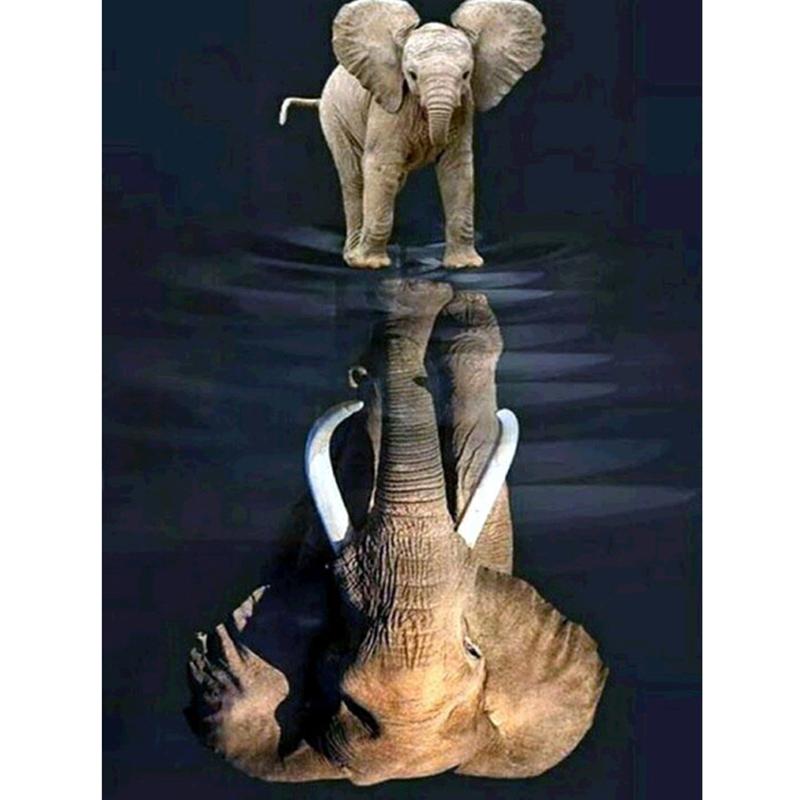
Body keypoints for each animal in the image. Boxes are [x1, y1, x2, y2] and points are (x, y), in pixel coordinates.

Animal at [279, 0, 546, 270]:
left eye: (466, 75)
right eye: (412, 75)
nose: (433, 140)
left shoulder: (464, 107)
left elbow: (457, 169)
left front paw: (465, 266)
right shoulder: (389, 105)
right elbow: (382, 166)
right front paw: (372, 265)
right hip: (333, 116)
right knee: (354, 177)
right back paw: (354, 258)